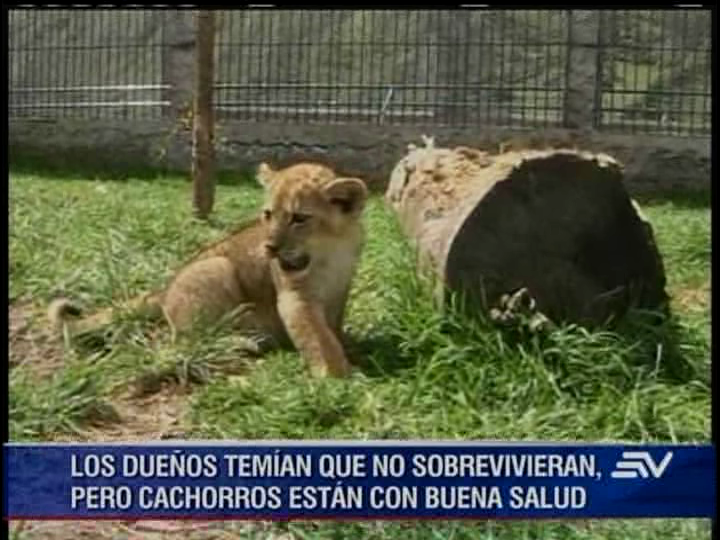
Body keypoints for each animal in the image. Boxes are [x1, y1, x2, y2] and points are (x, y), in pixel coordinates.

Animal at [48, 162, 369, 378]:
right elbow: (316, 337)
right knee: (190, 341)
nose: (270, 248)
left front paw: (347, 347)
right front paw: (336, 376)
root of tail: (165, 289)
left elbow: (331, 328)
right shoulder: (295, 296)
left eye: (300, 218)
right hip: (216, 268)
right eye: (268, 214)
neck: (330, 251)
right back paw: (245, 342)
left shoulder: (341, 289)